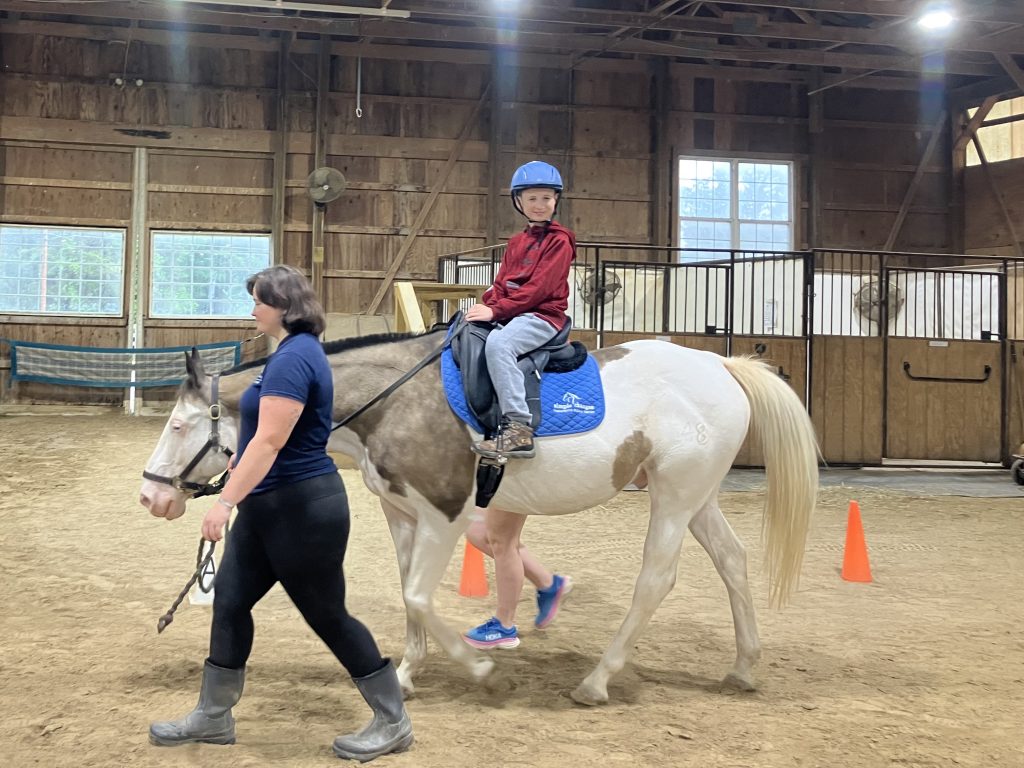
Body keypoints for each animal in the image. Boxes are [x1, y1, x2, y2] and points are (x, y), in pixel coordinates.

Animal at [139, 330, 819, 706]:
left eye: (178, 426)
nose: (152, 498)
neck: (394, 400)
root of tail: (722, 366)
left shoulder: (445, 515)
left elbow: (419, 596)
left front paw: (480, 669)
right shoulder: (402, 514)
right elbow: (408, 595)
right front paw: (406, 674)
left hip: (675, 500)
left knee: (656, 581)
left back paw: (596, 682)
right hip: (697, 498)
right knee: (733, 562)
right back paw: (743, 666)